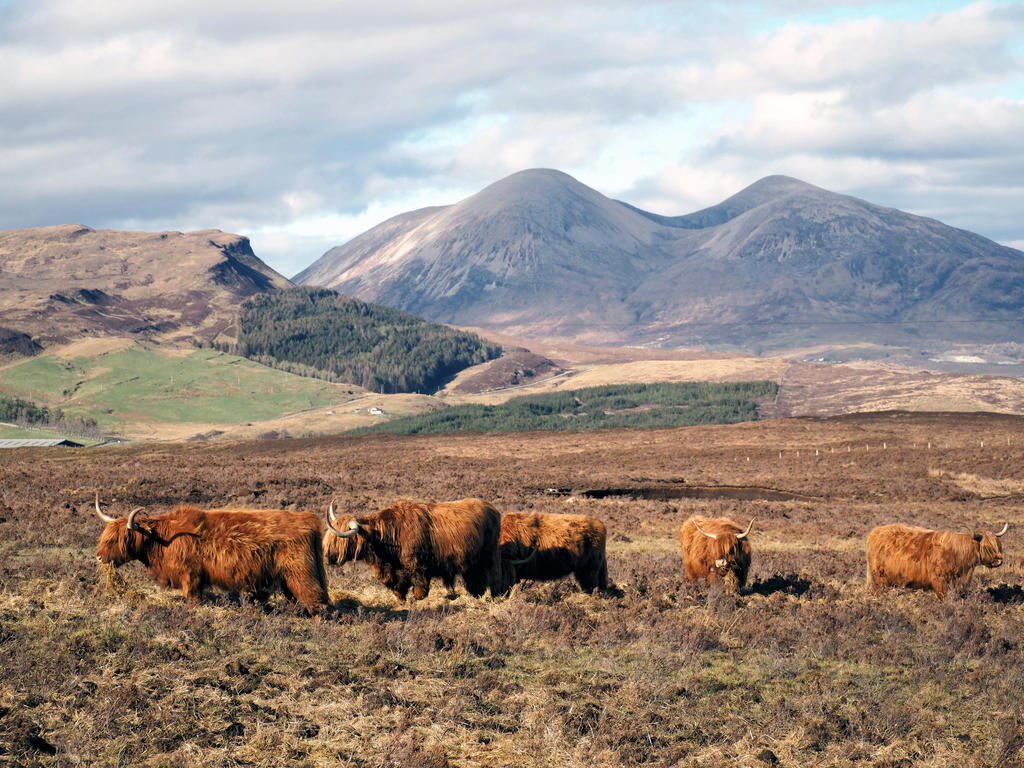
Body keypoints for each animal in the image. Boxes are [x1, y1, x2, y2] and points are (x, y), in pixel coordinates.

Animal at [94, 495, 329, 618]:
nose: (98, 557)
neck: (162, 539)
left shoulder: (191, 576)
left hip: (301, 573)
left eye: (115, 540)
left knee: (314, 597)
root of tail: (307, 519)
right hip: (287, 578)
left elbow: (193, 600)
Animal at [864, 524, 1007, 602]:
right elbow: (943, 595)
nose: (999, 560)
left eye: (998, 546)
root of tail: (874, 533)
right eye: (987, 547)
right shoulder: (940, 579)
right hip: (880, 577)